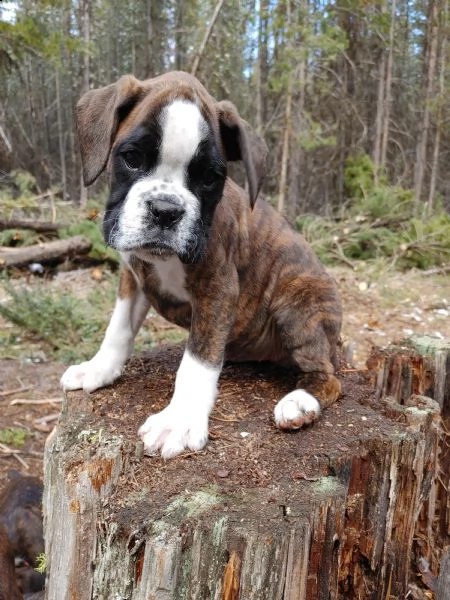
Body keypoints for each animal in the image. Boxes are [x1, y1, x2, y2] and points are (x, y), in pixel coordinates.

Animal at [59, 70, 342, 458]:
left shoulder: (218, 289)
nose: (165, 210)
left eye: (209, 178)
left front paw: (178, 420)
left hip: (298, 301)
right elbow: (118, 329)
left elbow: (197, 361)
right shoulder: (133, 275)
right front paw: (98, 369)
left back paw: (300, 402)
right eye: (131, 157)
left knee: (328, 377)